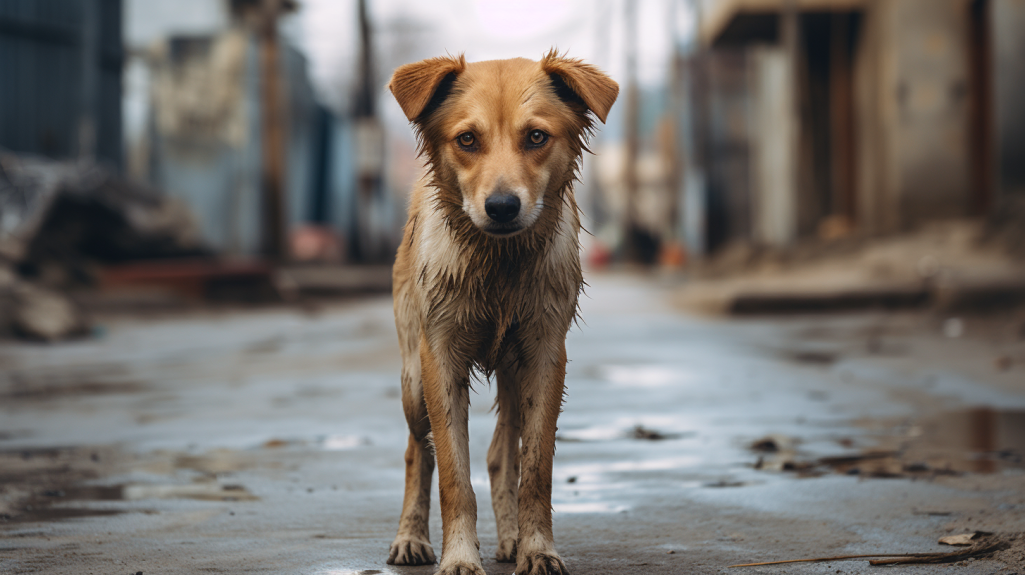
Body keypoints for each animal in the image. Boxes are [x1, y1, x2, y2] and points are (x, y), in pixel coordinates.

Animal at [387, 50, 619, 573]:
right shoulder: (439, 358)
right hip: (412, 378)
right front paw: (458, 557)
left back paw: (510, 537)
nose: (501, 206)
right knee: (416, 451)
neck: (499, 263)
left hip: (513, 371)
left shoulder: (545, 355)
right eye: (467, 139)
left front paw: (537, 549)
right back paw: (411, 538)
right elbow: (453, 473)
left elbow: (534, 470)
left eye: (535, 136)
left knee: (500, 454)